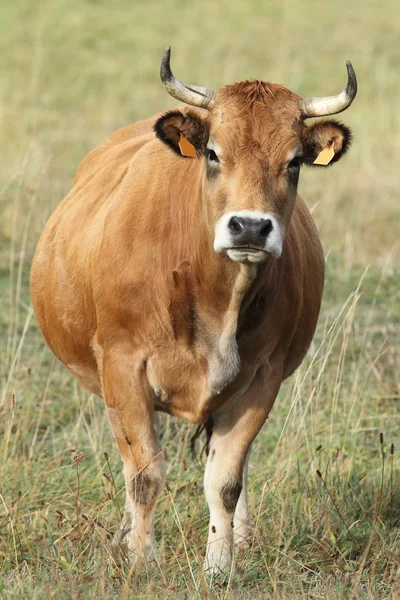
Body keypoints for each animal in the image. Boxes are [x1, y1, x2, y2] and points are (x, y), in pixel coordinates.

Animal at [30, 48, 356, 576]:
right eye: (213, 153)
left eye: (294, 161)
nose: (250, 227)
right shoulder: (123, 368)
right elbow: (144, 475)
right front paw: (141, 558)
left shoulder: (262, 379)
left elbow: (224, 481)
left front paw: (220, 564)